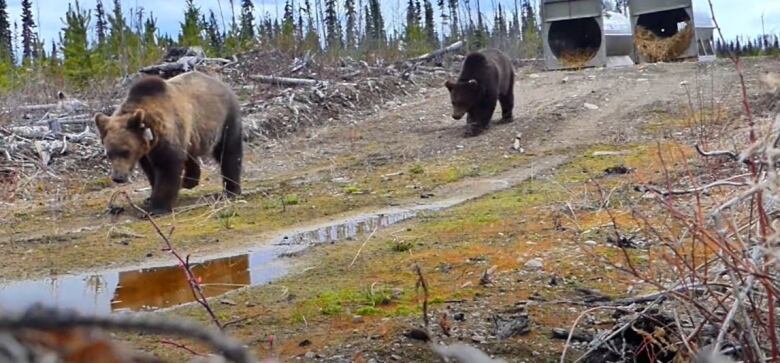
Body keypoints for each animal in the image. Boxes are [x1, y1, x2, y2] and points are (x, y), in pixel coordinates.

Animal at [97, 71, 244, 216]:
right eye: (109, 154)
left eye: (125, 151)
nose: (118, 177)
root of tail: (221, 83)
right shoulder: (147, 151)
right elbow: (151, 170)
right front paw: (150, 197)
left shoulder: (167, 135)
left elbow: (167, 167)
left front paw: (157, 208)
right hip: (192, 133)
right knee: (190, 154)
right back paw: (189, 181)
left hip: (224, 119)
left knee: (229, 153)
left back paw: (231, 190)